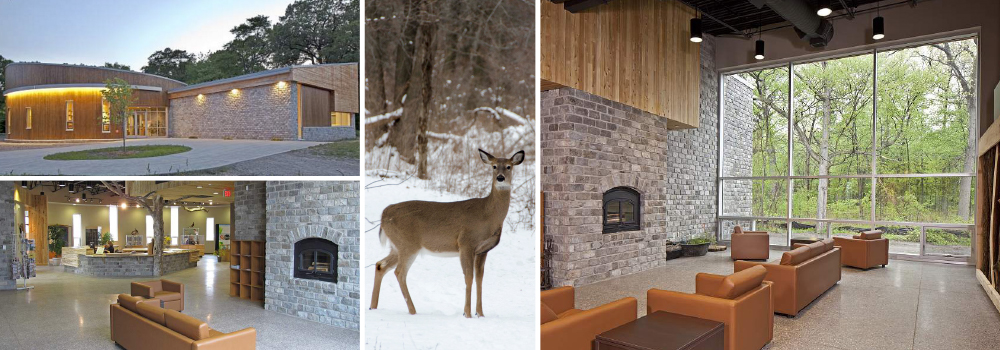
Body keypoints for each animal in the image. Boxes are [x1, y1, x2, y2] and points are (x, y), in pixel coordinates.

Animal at [372, 148, 528, 318]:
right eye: (494, 166)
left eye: (508, 166)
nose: (500, 178)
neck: (488, 215)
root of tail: (384, 214)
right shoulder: (466, 242)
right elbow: (469, 277)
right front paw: (467, 314)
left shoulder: (483, 250)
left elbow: (479, 279)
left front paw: (480, 314)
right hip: (408, 244)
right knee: (399, 272)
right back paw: (413, 311)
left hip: (397, 246)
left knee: (380, 265)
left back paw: (373, 307)